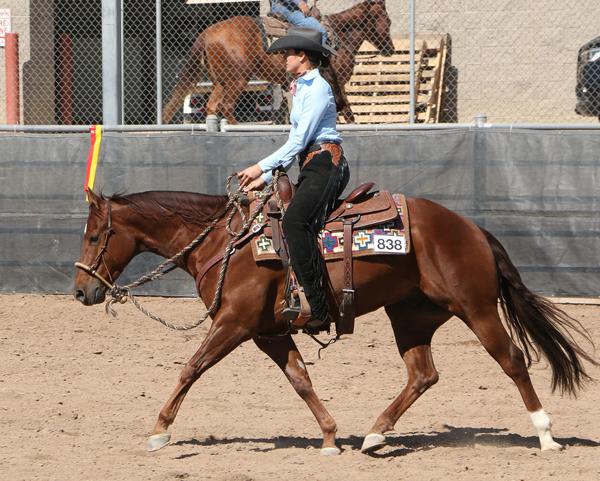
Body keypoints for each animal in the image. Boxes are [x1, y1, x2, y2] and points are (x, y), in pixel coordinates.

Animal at [74, 188, 596, 454]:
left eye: (96, 235)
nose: (82, 291)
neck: (227, 243)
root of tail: (472, 228)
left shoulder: (235, 324)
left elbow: (191, 368)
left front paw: (160, 430)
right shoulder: (267, 333)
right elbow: (300, 380)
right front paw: (328, 435)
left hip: (477, 308)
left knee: (512, 361)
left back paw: (546, 435)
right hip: (410, 315)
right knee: (423, 374)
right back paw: (374, 434)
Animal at [161, 0, 394, 125]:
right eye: (388, 21)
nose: (390, 49)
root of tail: (209, 31)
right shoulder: (338, 85)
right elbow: (346, 114)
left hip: (221, 81)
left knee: (212, 105)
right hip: (238, 79)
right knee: (226, 106)